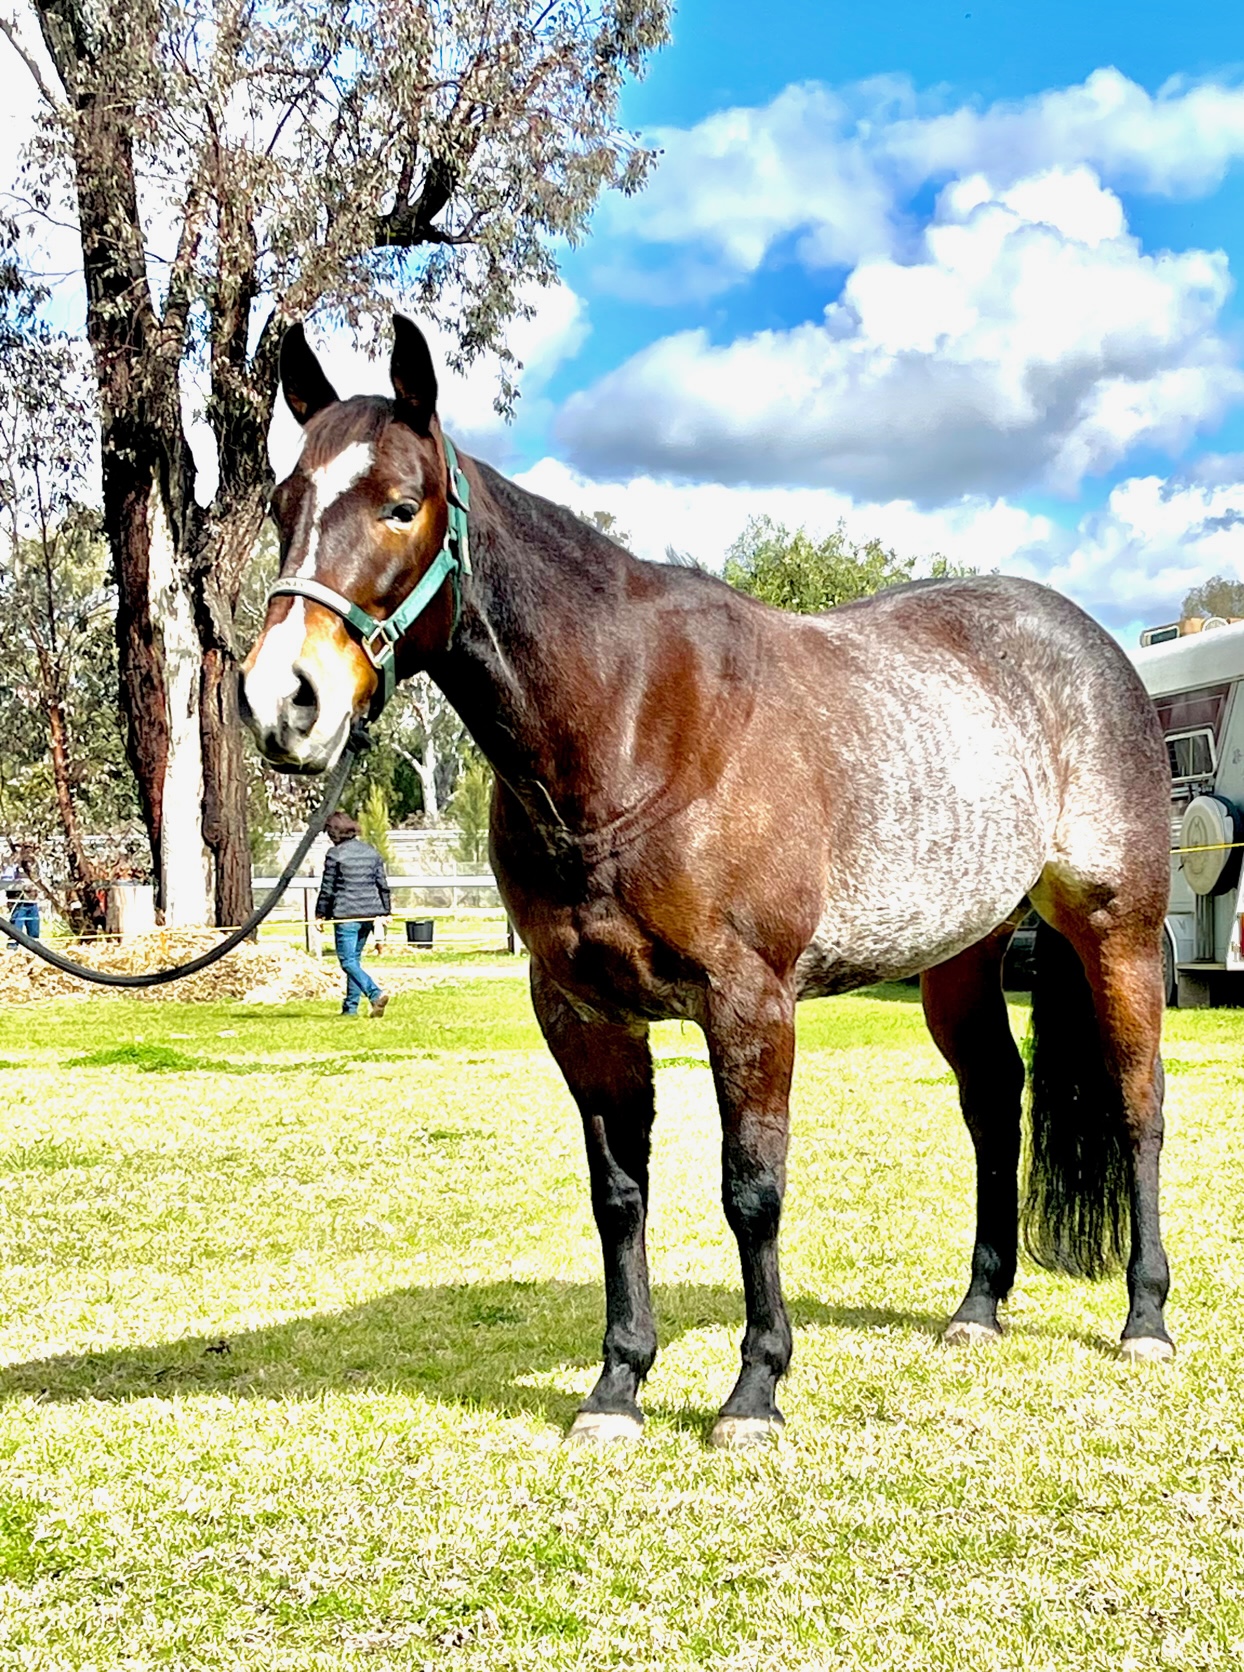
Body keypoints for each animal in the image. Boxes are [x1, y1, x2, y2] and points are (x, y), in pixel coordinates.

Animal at [241, 315, 1174, 1448]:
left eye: (400, 503)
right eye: (282, 503)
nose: (283, 699)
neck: (635, 725)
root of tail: (1093, 652)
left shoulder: (750, 1004)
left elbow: (751, 1193)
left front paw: (753, 1390)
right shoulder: (581, 1010)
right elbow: (618, 1196)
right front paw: (616, 1386)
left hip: (1115, 934)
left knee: (1136, 1105)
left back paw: (1144, 1318)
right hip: (960, 955)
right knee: (995, 1100)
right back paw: (977, 1309)